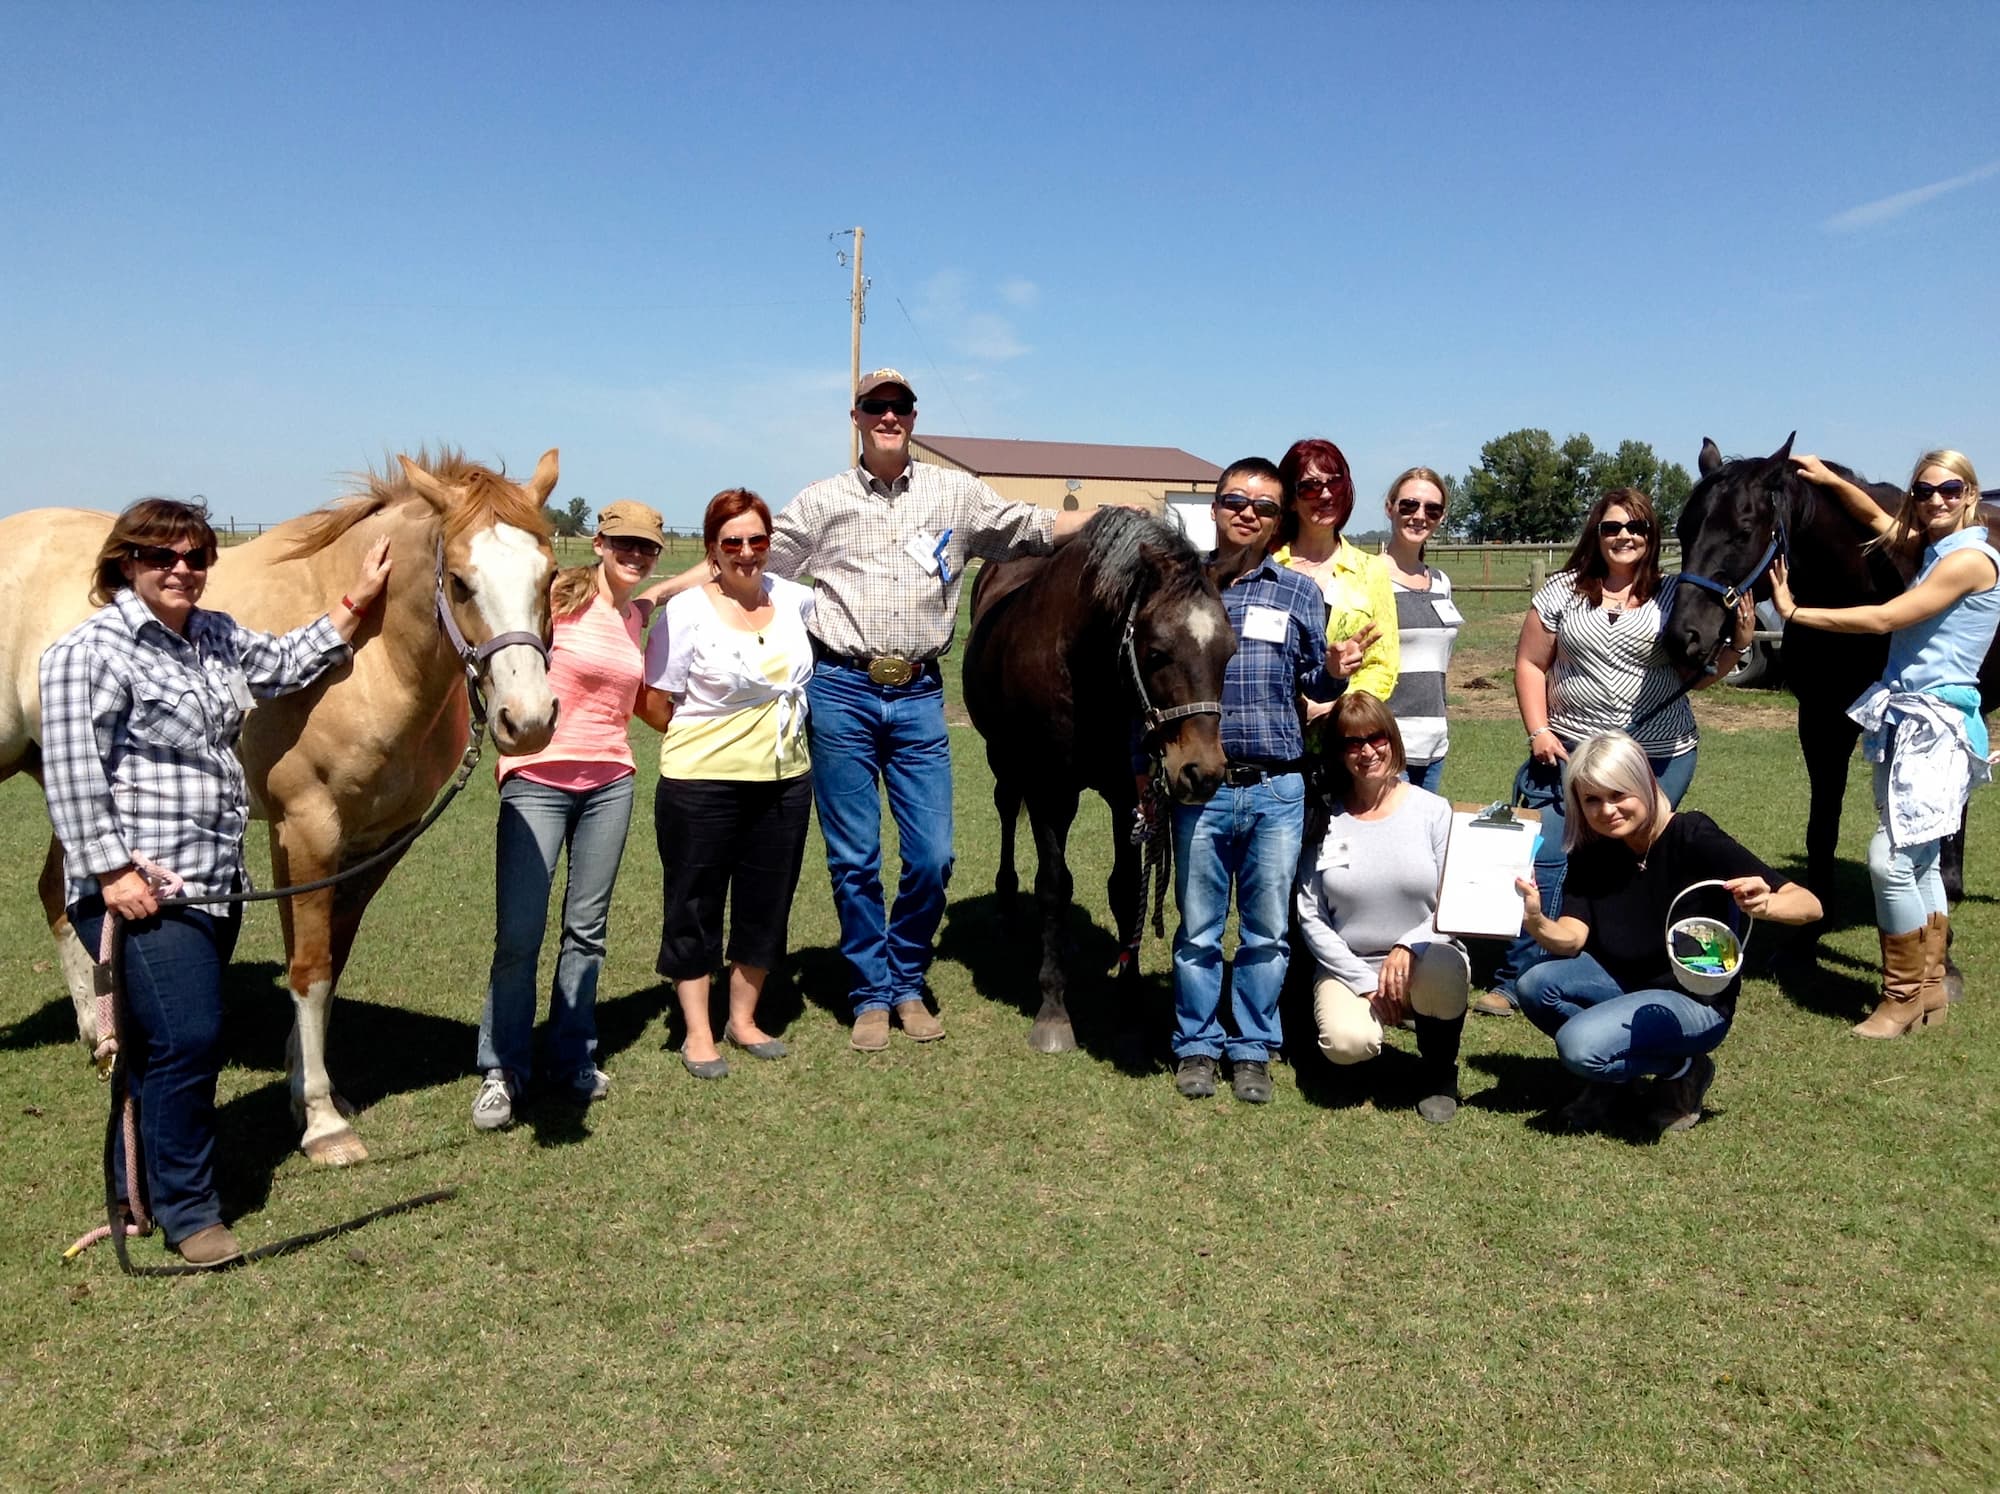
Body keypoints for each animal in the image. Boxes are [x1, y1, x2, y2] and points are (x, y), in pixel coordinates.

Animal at [962, 508, 1238, 1053]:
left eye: (1228, 652)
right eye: (1157, 652)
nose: (1202, 771)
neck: (1084, 669)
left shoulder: (1126, 792)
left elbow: (1126, 890)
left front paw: (1129, 1008)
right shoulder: (1049, 789)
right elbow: (1052, 885)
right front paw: (1053, 1010)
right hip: (1004, 757)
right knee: (1007, 811)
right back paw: (1006, 903)